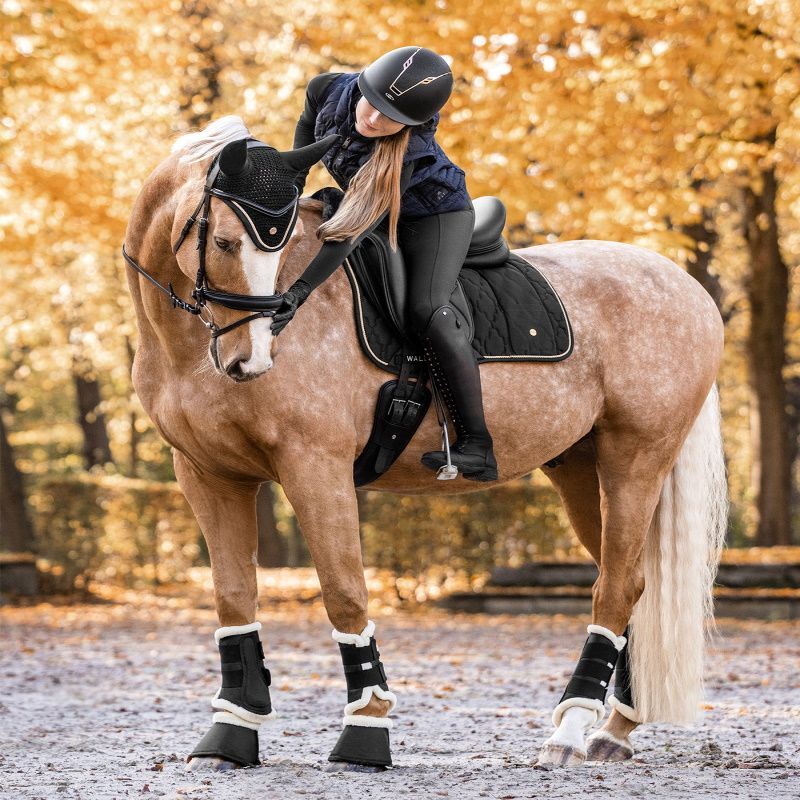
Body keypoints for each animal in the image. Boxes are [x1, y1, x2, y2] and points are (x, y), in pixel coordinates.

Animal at [122, 116, 728, 772]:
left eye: (274, 249)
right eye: (227, 243)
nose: (248, 360)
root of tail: (686, 286)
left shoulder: (315, 467)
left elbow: (344, 593)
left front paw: (366, 730)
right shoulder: (207, 475)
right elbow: (234, 599)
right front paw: (230, 733)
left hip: (635, 461)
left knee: (614, 587)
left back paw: (569, 732)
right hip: (579, 469)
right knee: (633, 584)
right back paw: (613, 727)